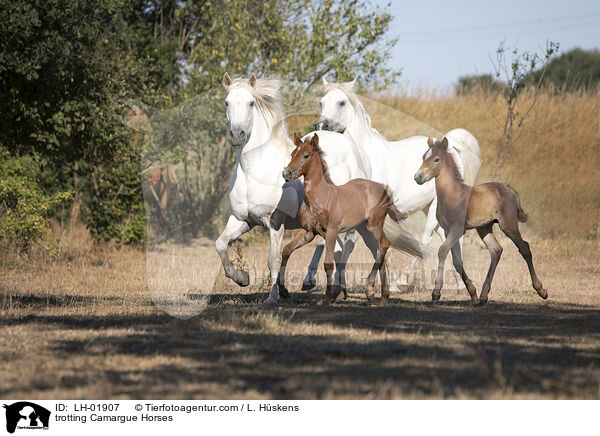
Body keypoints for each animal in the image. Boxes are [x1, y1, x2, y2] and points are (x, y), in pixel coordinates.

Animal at [278, 132, 406, 304]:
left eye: (306, 155)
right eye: (293, 154)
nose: (287, 173)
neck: (319, 197)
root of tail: (384, 189)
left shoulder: (332, 231)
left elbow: (328, 264)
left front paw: (327, 297)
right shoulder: (308, 232)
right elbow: (286, 250)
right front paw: (283, 291)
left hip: (374, 225)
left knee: (384, 245)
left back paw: (370, 289)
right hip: (365, 230)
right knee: (379, 251)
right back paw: (382, 297)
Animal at [414, 137, 548, 306]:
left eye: (436, 159)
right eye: (423, 157)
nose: (418, 177)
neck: (452, 194)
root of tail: (509, 189)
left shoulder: (457, 230)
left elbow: (442, 251)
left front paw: (436, 293)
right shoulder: (448, 230)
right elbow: (457, 261)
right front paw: (474, 296)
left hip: (508, 225)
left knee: (524, 248)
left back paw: (541, 290)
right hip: (484, 228)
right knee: (496, 250)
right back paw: (484, 295)